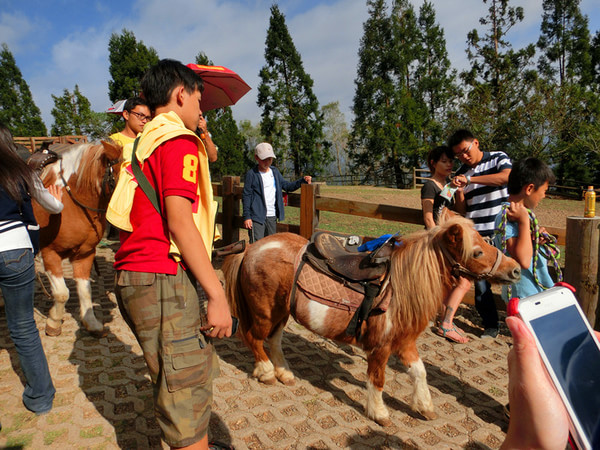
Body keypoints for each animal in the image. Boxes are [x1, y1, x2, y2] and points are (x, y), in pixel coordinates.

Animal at [33, 142, 122, 338]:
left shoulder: (85, 254)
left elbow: (85, 290)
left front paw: (91, 323)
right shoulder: (49, 254)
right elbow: (62, 293)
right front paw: (53, 322)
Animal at [223, 216, 524, 428]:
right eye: (476, 252)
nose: (516, 270)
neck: (402, 287)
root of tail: (251, 248)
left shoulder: (405, 343)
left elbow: (420, 372)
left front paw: (424, 406)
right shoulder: (381, 348)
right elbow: (377, 380)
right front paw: (379, 413)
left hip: (281, 313)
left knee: (273, 341)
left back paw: (284, 373)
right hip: (265, 312)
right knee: (253, 338)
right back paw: (266, 373)